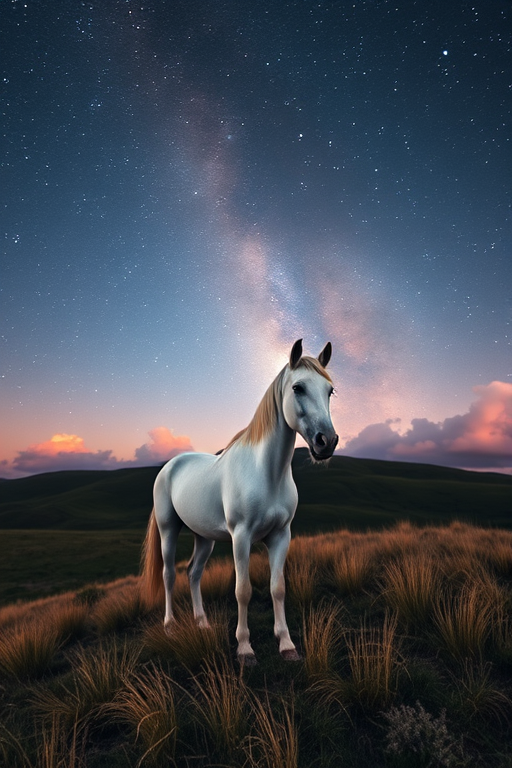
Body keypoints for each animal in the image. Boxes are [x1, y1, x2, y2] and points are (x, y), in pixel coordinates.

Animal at [141, 339, 338, 664]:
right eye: (298, 388)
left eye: (330, 391)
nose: (327, 442)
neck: (267, 472)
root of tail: (170, 466)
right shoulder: (241, 537)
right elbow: (243, 590)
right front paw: (245, 649)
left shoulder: (281, 536)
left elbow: (278, 588)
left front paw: (287, 645)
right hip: (169, 530)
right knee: (169, 575)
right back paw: (170, 627)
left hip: (204, 537)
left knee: (193, 573)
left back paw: (202, 623)